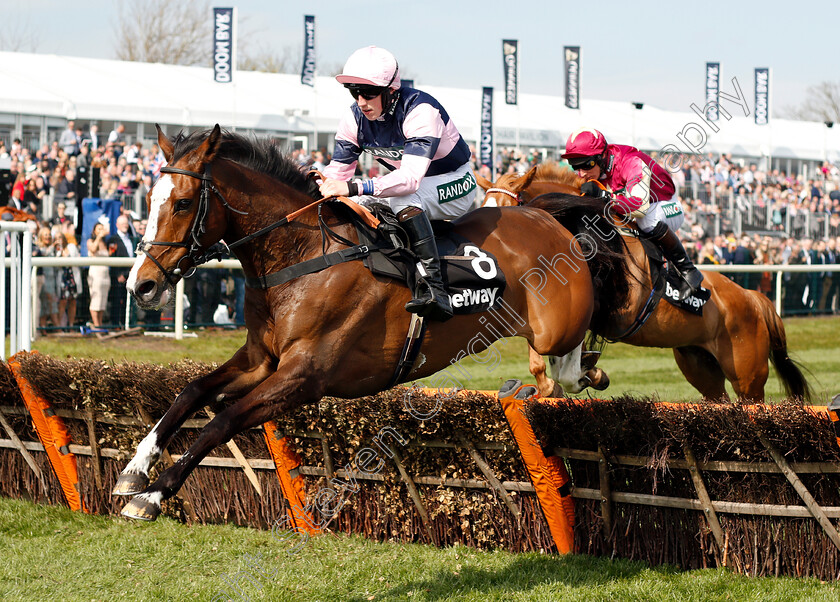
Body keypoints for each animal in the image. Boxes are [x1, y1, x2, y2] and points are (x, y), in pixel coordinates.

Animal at [113, 125, 632, 516]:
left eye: (182, 203)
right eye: (149, 199)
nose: (141, 286)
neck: (303, 255)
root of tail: (549, 219)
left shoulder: (305, 376)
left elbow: (221, 421)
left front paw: (154, 494)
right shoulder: (260, 359)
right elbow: (192, 391)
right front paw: (135, 468)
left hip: (554, 328)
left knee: (565, 369)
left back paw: (581, 373)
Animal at [476, 162, 812, 400]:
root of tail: (752, 297)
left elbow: (565, 368)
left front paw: (588, 374)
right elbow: (542, 364)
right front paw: (575, 377)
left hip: (748, 374)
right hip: (699, 364)